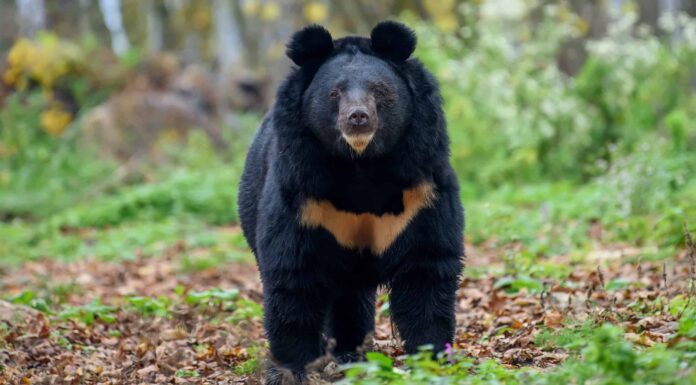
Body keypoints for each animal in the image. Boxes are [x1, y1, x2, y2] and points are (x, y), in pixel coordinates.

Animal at [238, 21, 462, 384]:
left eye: (379, 90)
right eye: (334, 93)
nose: (358, 117)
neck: (361, 164)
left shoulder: (421, 187)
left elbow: (426, 267)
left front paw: (431, 359)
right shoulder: (302, 195)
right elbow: (293, 276)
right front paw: (289, 370)